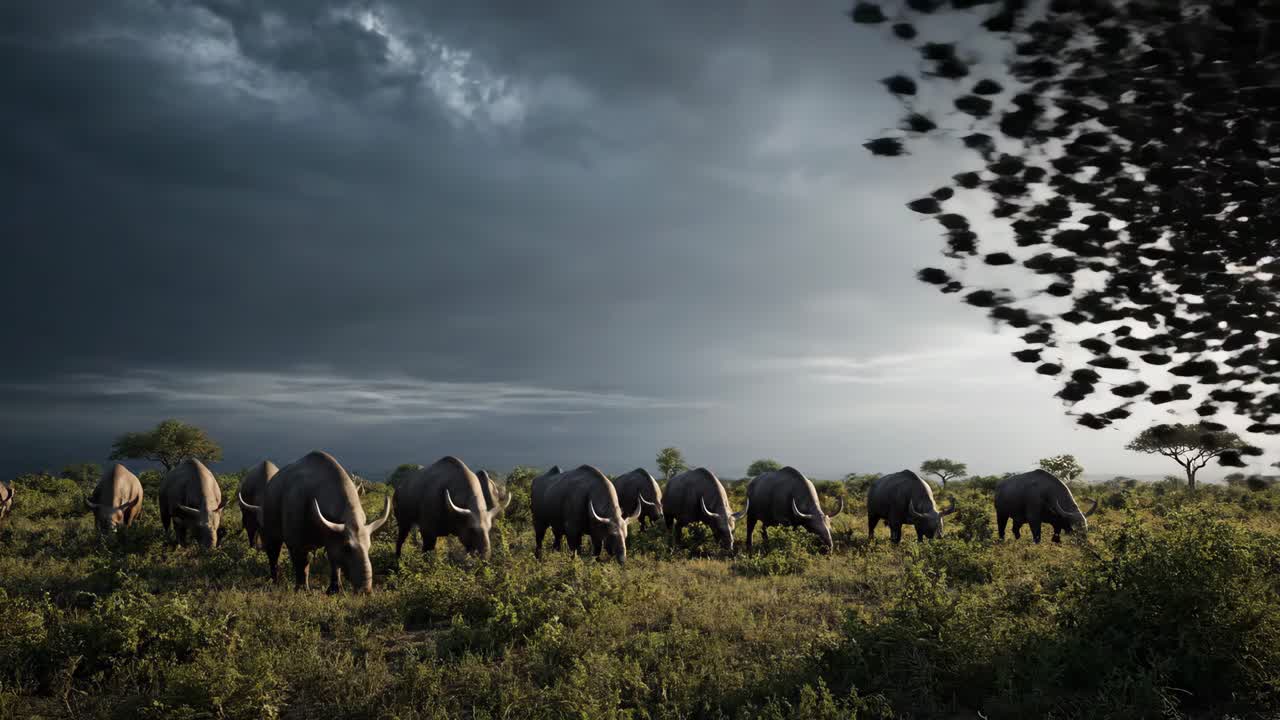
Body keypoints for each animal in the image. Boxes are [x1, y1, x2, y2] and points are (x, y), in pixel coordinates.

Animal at [239, 450, 391, 593]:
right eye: (347, 547)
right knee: (273, 555)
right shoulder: (296, 542)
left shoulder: (332, 538)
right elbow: (302, 565)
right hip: (271, 534)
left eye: (369, 546)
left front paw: (334, 590)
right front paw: (302, 590)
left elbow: (334, 563)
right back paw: (274, 582)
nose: (365, 590)